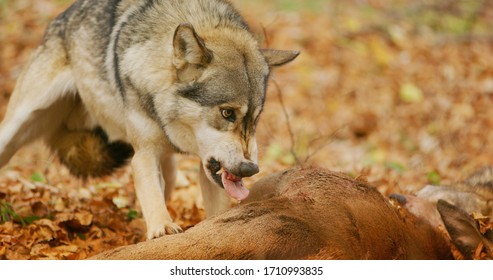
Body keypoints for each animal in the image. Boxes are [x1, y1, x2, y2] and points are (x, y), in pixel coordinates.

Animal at [0, 0, 298, 238]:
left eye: (255, 119)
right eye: (227, 113)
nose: (250, 169)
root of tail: (61, 16)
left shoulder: (207, 171)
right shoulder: (143, 155)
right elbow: (153, 199)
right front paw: (163, 228)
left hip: (171, 170)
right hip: (17, 127)